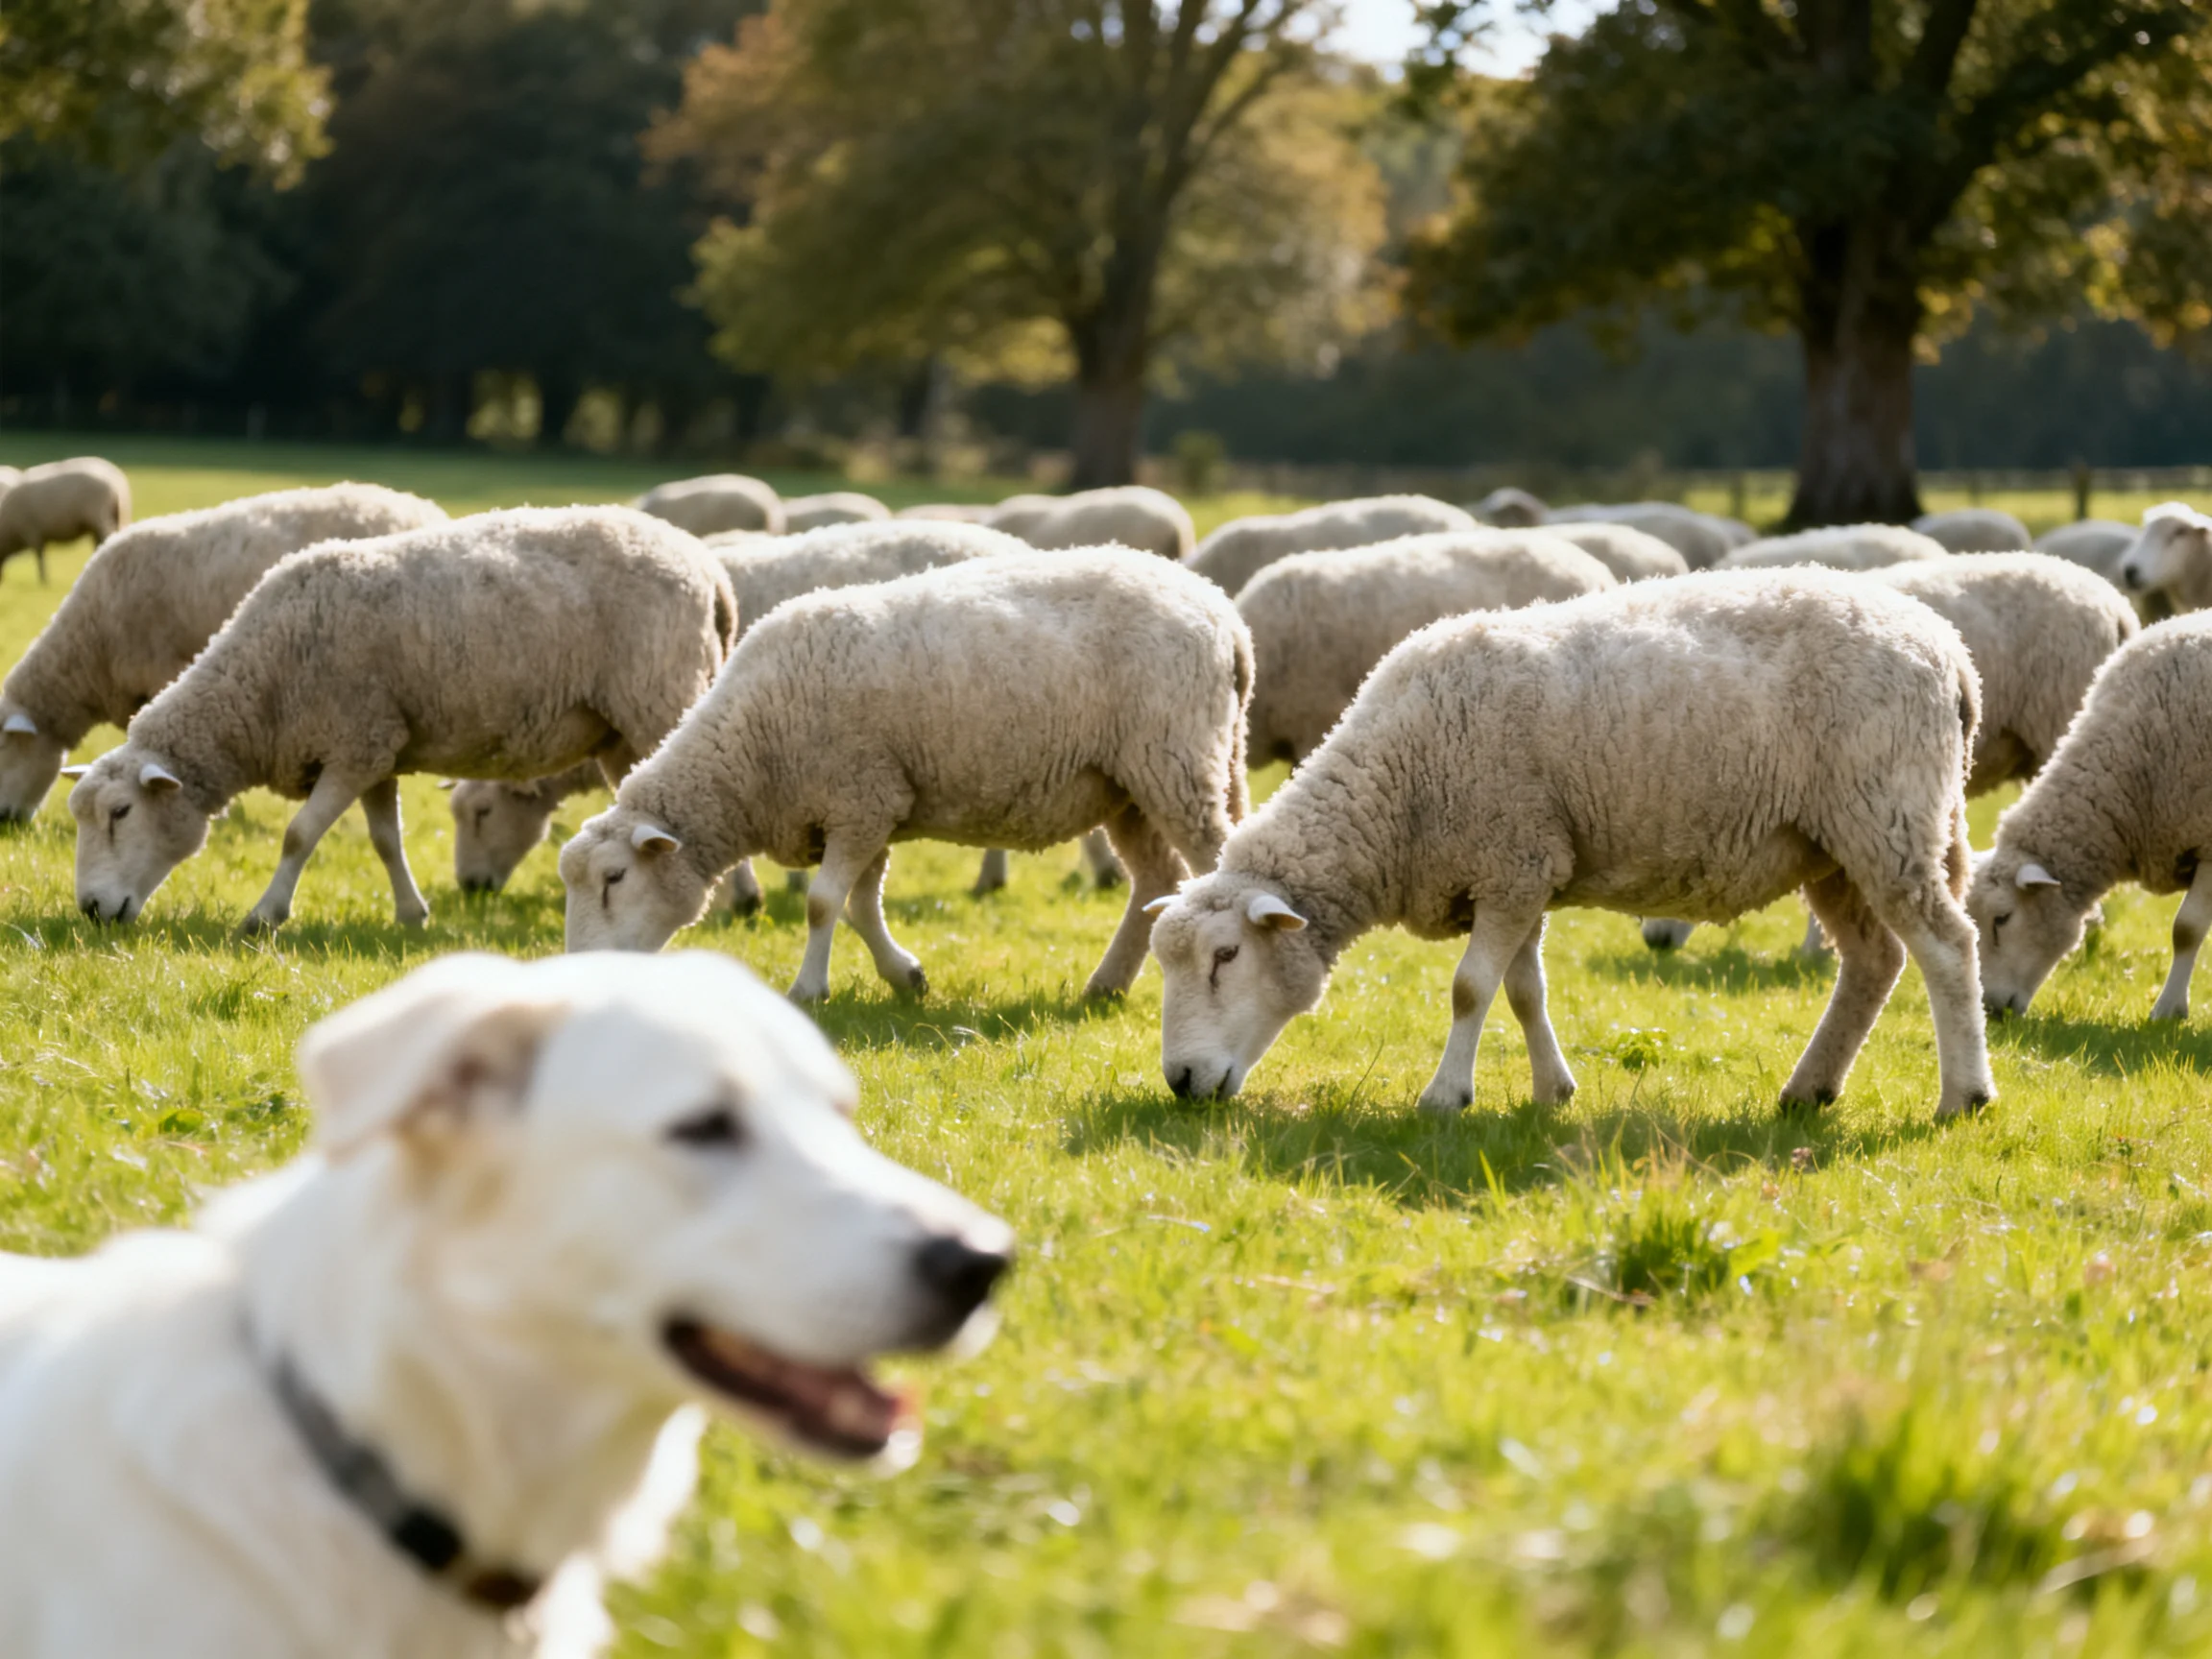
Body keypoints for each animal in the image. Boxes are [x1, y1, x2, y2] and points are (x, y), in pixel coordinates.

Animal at [0, 457, 131, 582]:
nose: (2, 578)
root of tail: (115, 479)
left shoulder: (31, 532)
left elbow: (39, 555)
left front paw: (43, 579)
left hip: (99, 514)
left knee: (107, 537)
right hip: (116, 516)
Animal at [65, 506, 735, 933]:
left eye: (120, 813)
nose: (91, 911)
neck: (264, 683)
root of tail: (707, 569)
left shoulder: (354, 743)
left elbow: (298, 835)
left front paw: (263, 918)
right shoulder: (375, 746)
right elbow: (386, 840)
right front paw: (412, 916)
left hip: (660, 696)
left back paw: (736, 901)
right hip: (622, 731)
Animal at [559, 548, 1252, 1004]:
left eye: (614, 879)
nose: (578, 975)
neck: (751, 751)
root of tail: (1220, 610)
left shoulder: (859, 801)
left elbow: (821, 904)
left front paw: (808, 989)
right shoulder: (874, 806)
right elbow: (859, 906)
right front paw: (905, 976)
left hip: (1175, 765)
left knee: (1210, 866)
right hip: (1131, 786)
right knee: (1155, 880)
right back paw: (1105, 986)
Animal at [1147, 569, 1995, 1122]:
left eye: (1226, 957)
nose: (1181, 1081)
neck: (1399, 787)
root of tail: (1950, 651)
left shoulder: (1512, 860)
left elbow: (1469, 989)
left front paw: (1445, 1097)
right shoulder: (1520, 869)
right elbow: (1523, 991)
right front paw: (1552, 1091)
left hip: (1886, 815)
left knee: (1947, 947)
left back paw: (1964, 1096)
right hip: (1830, 843)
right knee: (1874, 963)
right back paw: (1809, 1089)